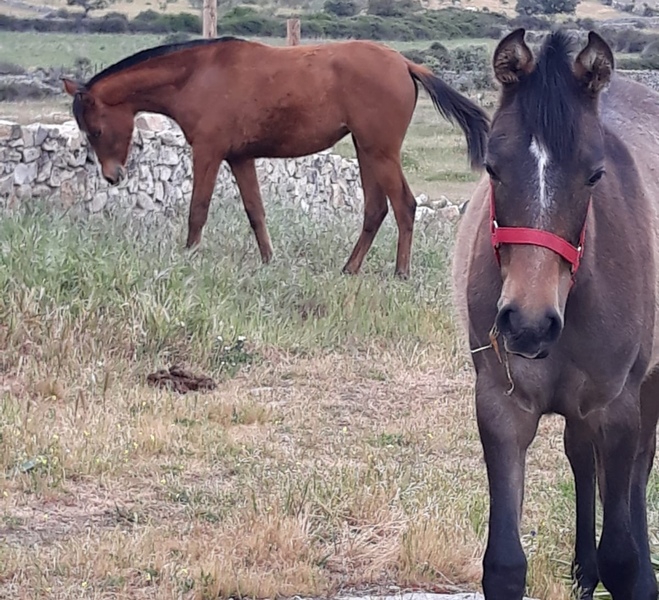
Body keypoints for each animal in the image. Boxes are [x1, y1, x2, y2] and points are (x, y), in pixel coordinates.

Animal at [62, 36, 489, 279]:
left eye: (95, 130)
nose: (112, 176)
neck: (198, 75)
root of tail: (404, 63)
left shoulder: (208, 152)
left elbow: (198, 209)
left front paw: (189, 257)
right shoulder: (240, 158)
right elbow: (256, 212)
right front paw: (269, 261)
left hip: (379, 151)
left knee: (403, 205)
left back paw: (400, 273)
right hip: (366, 150)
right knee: (376, 209)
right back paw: (350, 269)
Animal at [453, 29, 659, 599]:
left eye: (595, 175)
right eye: (492, 168)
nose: (528, 324)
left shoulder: (616, 409)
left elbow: (622, 556)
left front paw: (635, 573)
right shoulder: (502, 408)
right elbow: (504, 565)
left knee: (637, 468)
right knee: (581, 456)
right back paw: (583, 571)